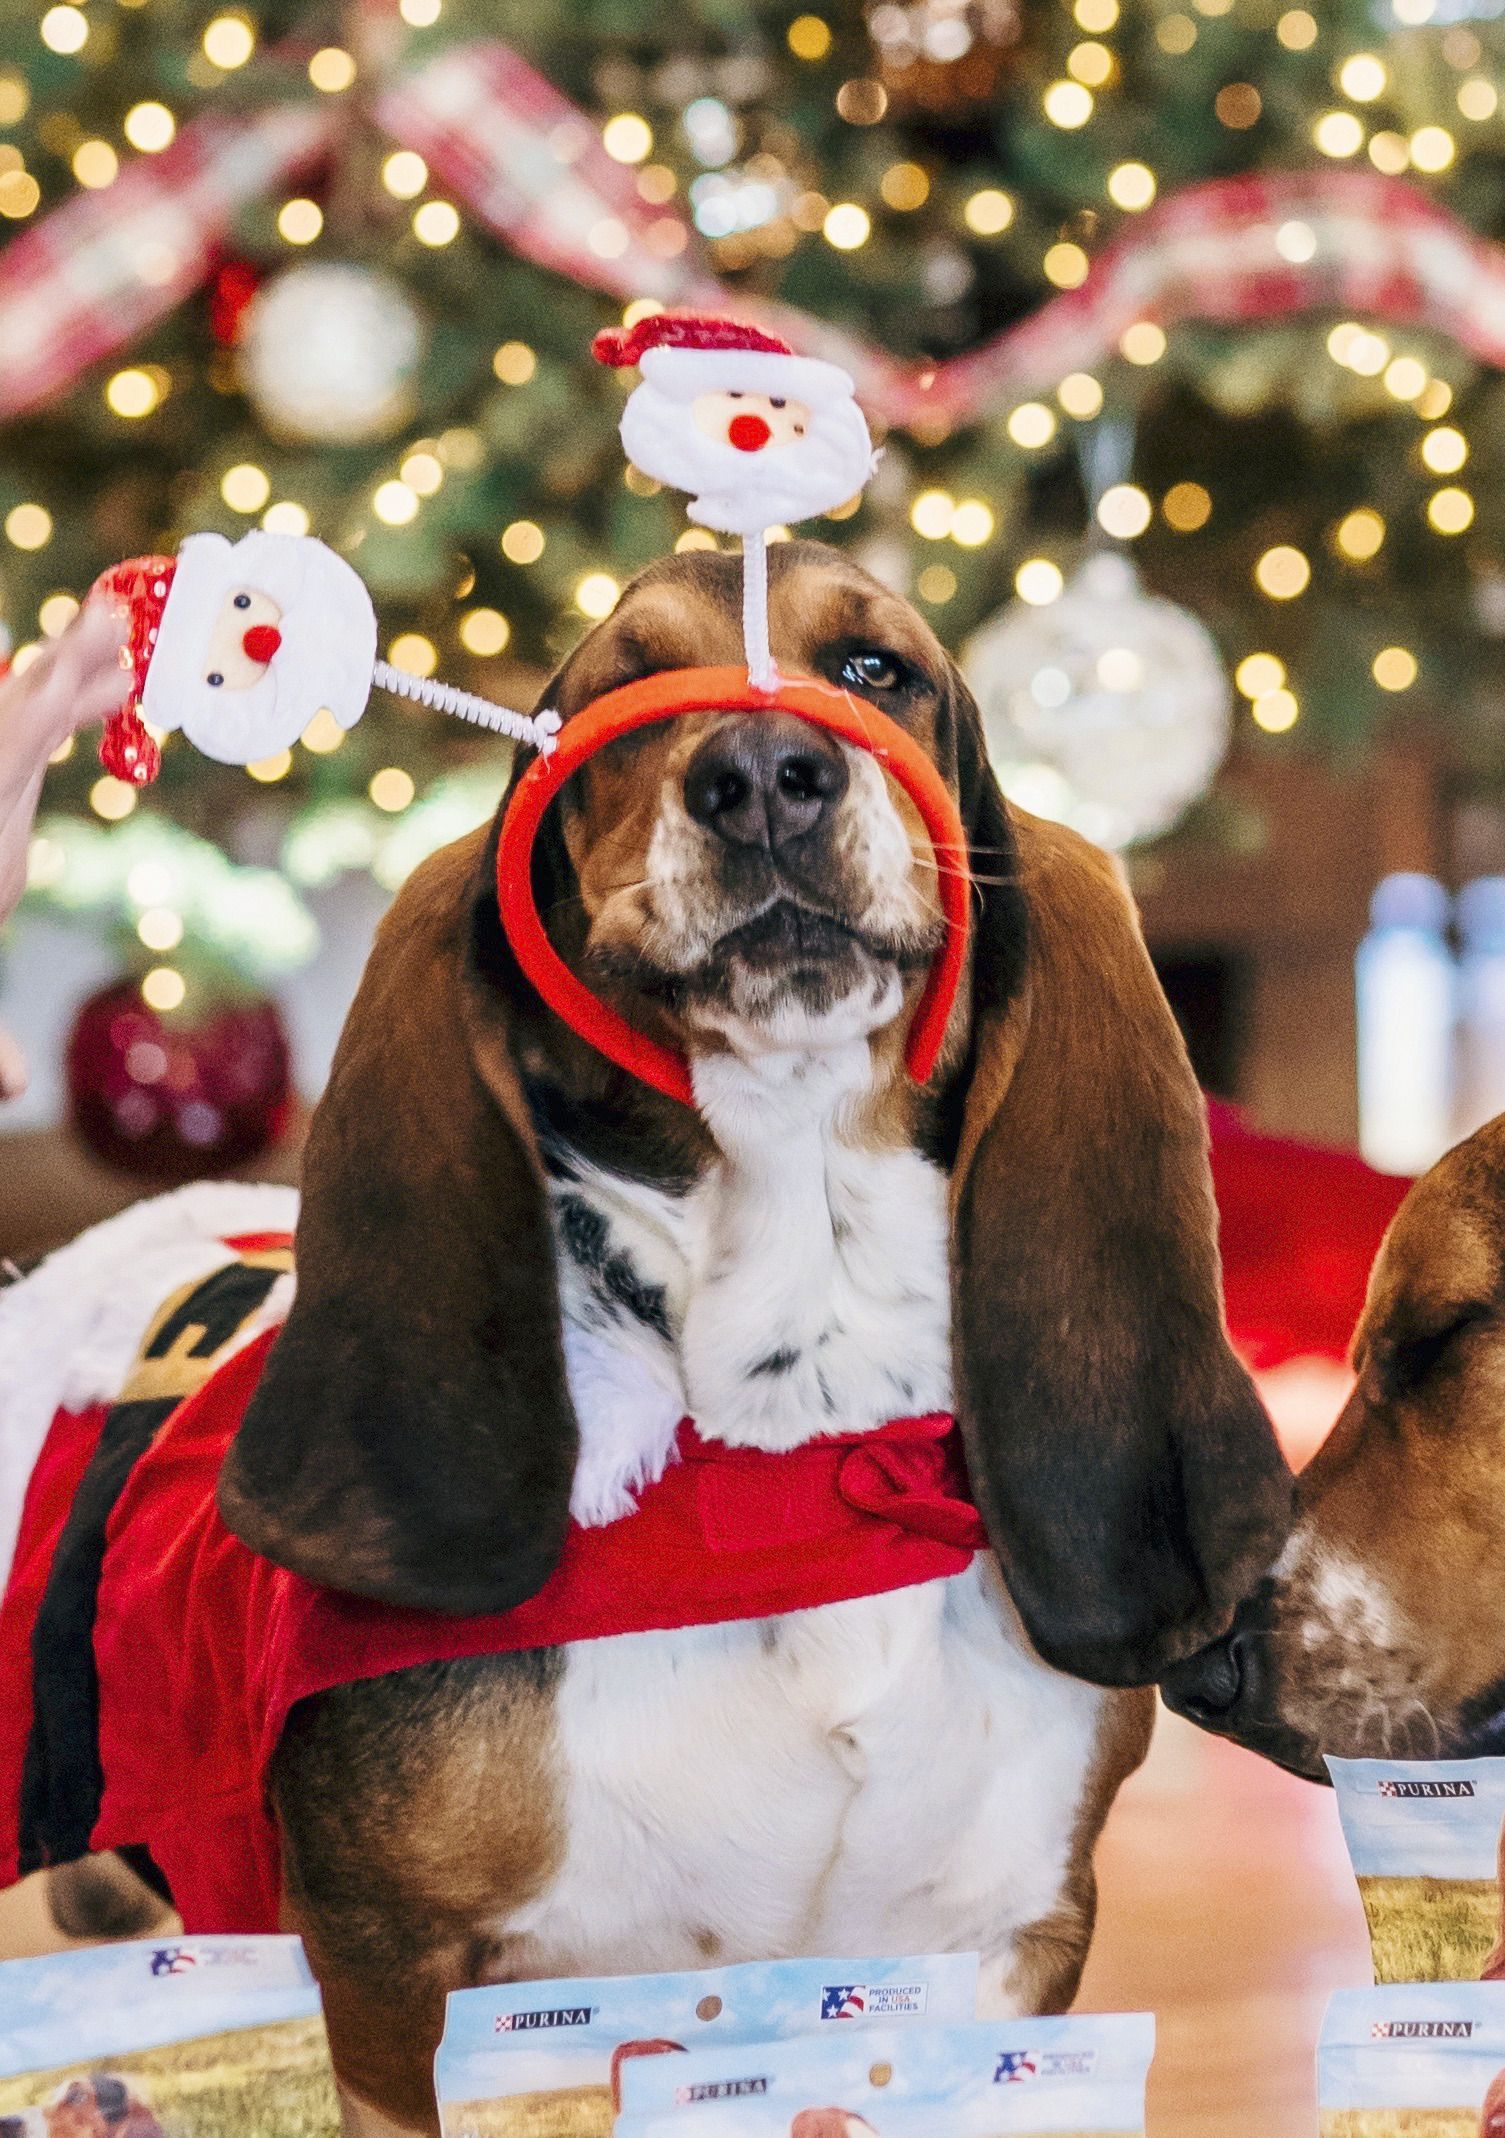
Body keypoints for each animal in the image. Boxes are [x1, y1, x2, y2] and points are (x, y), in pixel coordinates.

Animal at [0, 538, 1291, 2138]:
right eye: (620, 701)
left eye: (874, 668)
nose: (763, 775)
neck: (794, 1472)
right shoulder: (392, 1985)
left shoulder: (1011, 1938)